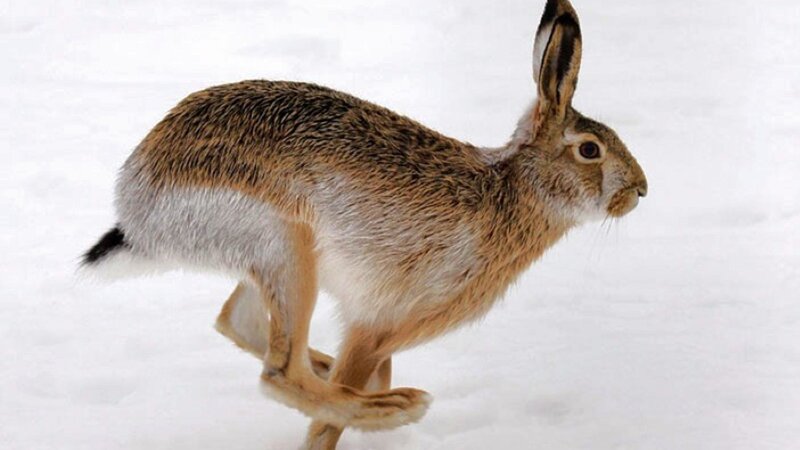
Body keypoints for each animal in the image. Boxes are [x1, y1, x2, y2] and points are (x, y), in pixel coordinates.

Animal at [80, 0, 647, 448]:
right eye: (590, 150)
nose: (640, 191)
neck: (514, 189)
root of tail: (136, 201)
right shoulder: (377, 323)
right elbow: (328, 418)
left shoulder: (382, 338)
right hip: (284, 243)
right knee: (279, 374)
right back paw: (391, 406)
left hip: (268, 259)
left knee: (237, 320)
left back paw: (335, 372)